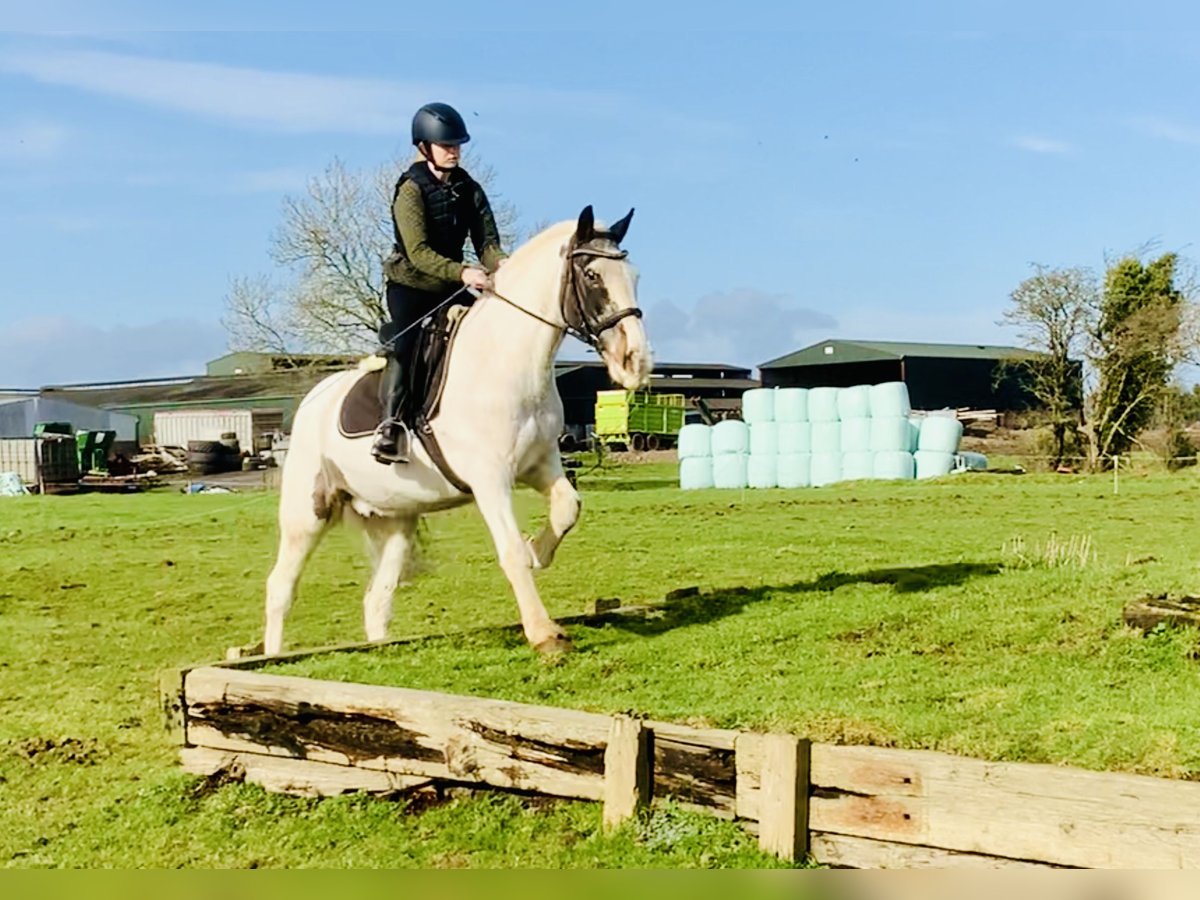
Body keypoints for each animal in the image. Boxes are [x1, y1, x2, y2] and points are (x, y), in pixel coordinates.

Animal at [262, 206, 652, 657]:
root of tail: (310, 403)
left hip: (395, 520)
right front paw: (545, 633)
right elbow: (510, 552)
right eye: (591, 275)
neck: (506, 361)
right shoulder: (490, 479)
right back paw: (274, 656)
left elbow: (567, 508)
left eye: (634, 276)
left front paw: (539, 552)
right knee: (281, 587)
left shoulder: (541, 464)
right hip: (308, 512)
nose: (635, 361)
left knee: (377, 598)